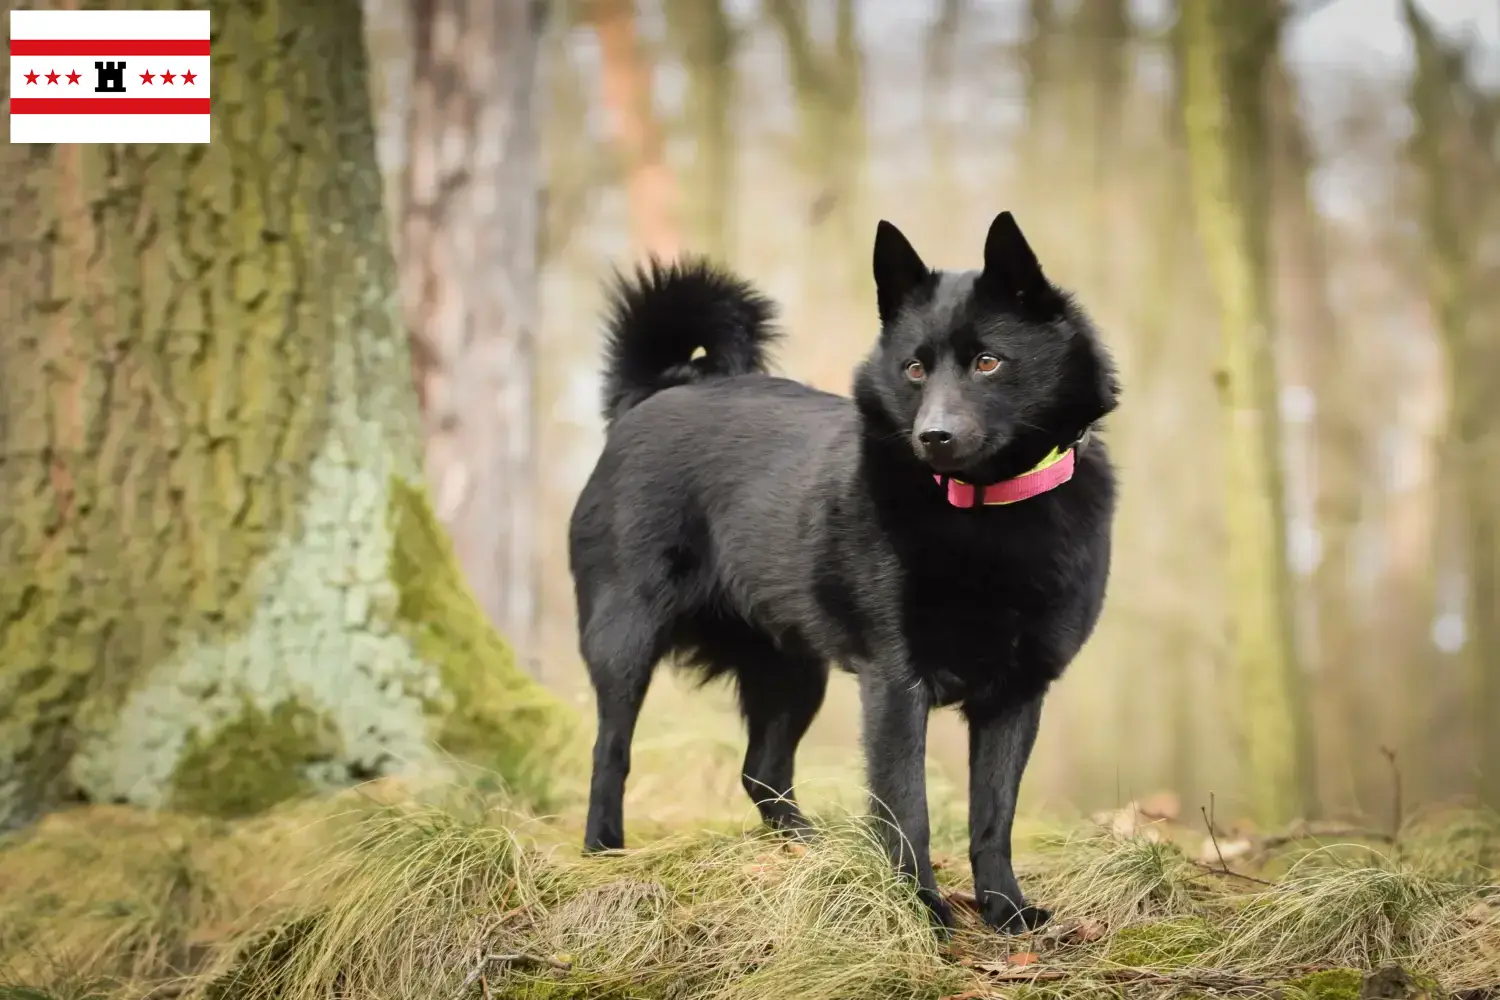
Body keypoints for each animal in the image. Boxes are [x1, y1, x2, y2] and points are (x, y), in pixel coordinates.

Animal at [567, 212, 1122, 941]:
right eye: (914, 368)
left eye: (988, 361)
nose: (933, 437)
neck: (982, 511)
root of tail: (652, 395)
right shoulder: (895, 685)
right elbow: (907, 810)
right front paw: (922, 912)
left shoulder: (1017, 693)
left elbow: (993, 817)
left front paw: (1005, 910)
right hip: (625, 639)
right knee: (611, 750)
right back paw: (603, 849)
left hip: (795, 669)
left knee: (762, 773)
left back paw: (814, 850)